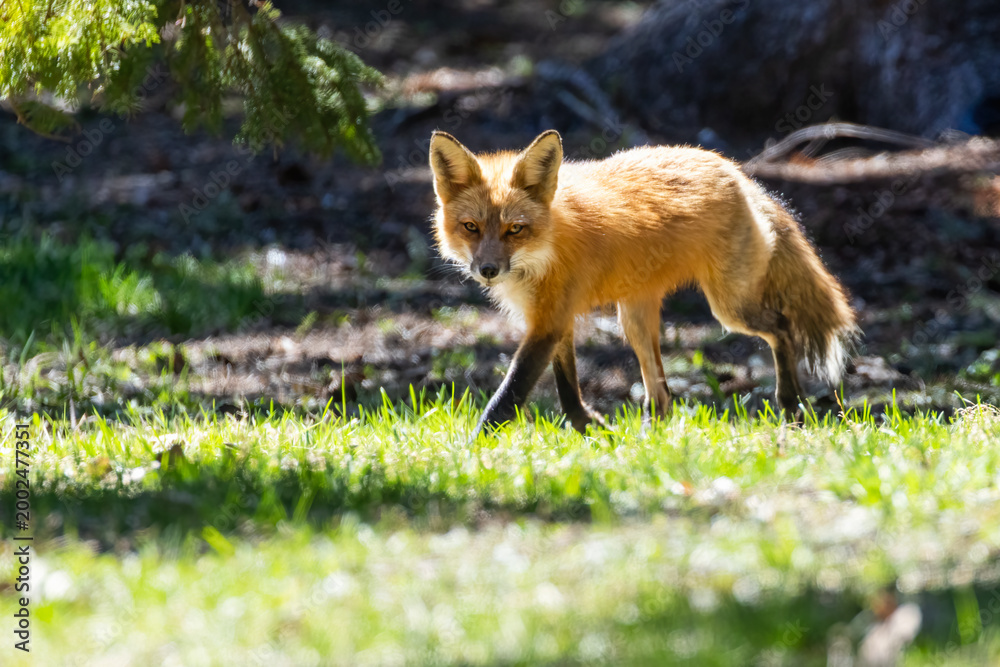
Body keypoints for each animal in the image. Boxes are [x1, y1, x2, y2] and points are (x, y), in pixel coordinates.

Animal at [429, 129, 857, 436]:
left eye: (514, 229)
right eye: (471, 227)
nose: (487, 269)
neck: (545, 248)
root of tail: (733, 168)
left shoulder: (549, 323)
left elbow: (507, 397)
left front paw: (472, 451)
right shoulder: (553, 320)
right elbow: (568, 391)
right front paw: (593, 429)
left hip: (730, 307)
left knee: (782, 328)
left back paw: (791, 406)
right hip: (634, 320)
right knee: (661, 395)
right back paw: (651, 440)